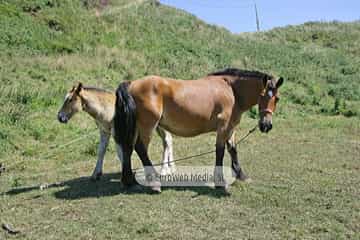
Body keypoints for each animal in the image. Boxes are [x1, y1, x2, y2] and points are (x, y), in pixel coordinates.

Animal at [114, 68, 282, 192]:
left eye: (277, 98)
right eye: (261, 95)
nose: (266, 125)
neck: (231, 90)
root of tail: (132, 83)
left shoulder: (231, 126)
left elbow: (233, 150)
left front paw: (241, 175)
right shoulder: (223, 126)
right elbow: (220, 152)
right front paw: (219, 182)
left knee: (128, 148)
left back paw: (128, 181)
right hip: (148, 126)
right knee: (140, 149)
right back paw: (154, 183)